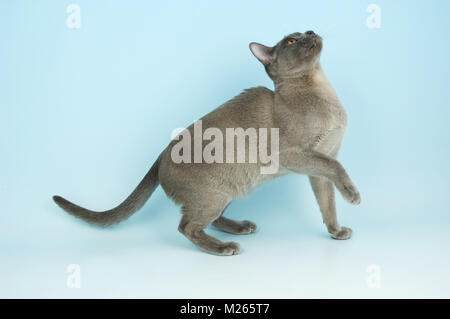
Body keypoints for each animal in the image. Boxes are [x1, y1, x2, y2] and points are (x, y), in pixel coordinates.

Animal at [52, 31, 362, 258]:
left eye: (303, 33)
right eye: (291, 41)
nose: (310, 31)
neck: (321, 90)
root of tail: (161, 154)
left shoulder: (318, 167)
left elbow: (328, 204)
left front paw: (336, 232)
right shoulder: (300, 156)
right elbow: (338, 169)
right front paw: (354, 196)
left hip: (230, 187)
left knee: (207, 221)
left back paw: (241, 227)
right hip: (216, 193)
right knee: (187, 226)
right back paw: (225, 247)